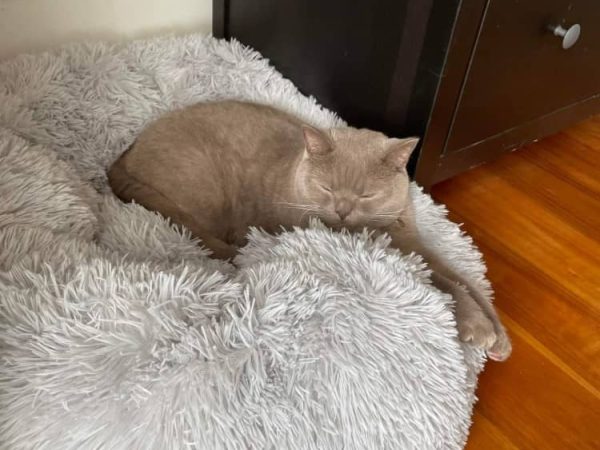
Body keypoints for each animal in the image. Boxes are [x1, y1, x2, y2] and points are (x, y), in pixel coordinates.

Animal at [108, 100, 510, 360]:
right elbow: (444, 283)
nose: (343, 210)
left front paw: (500, 337)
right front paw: (478, 327)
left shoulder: (413, 241)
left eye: (366, 194)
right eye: (328, 188)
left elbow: (463, 278)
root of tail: (124, 155)